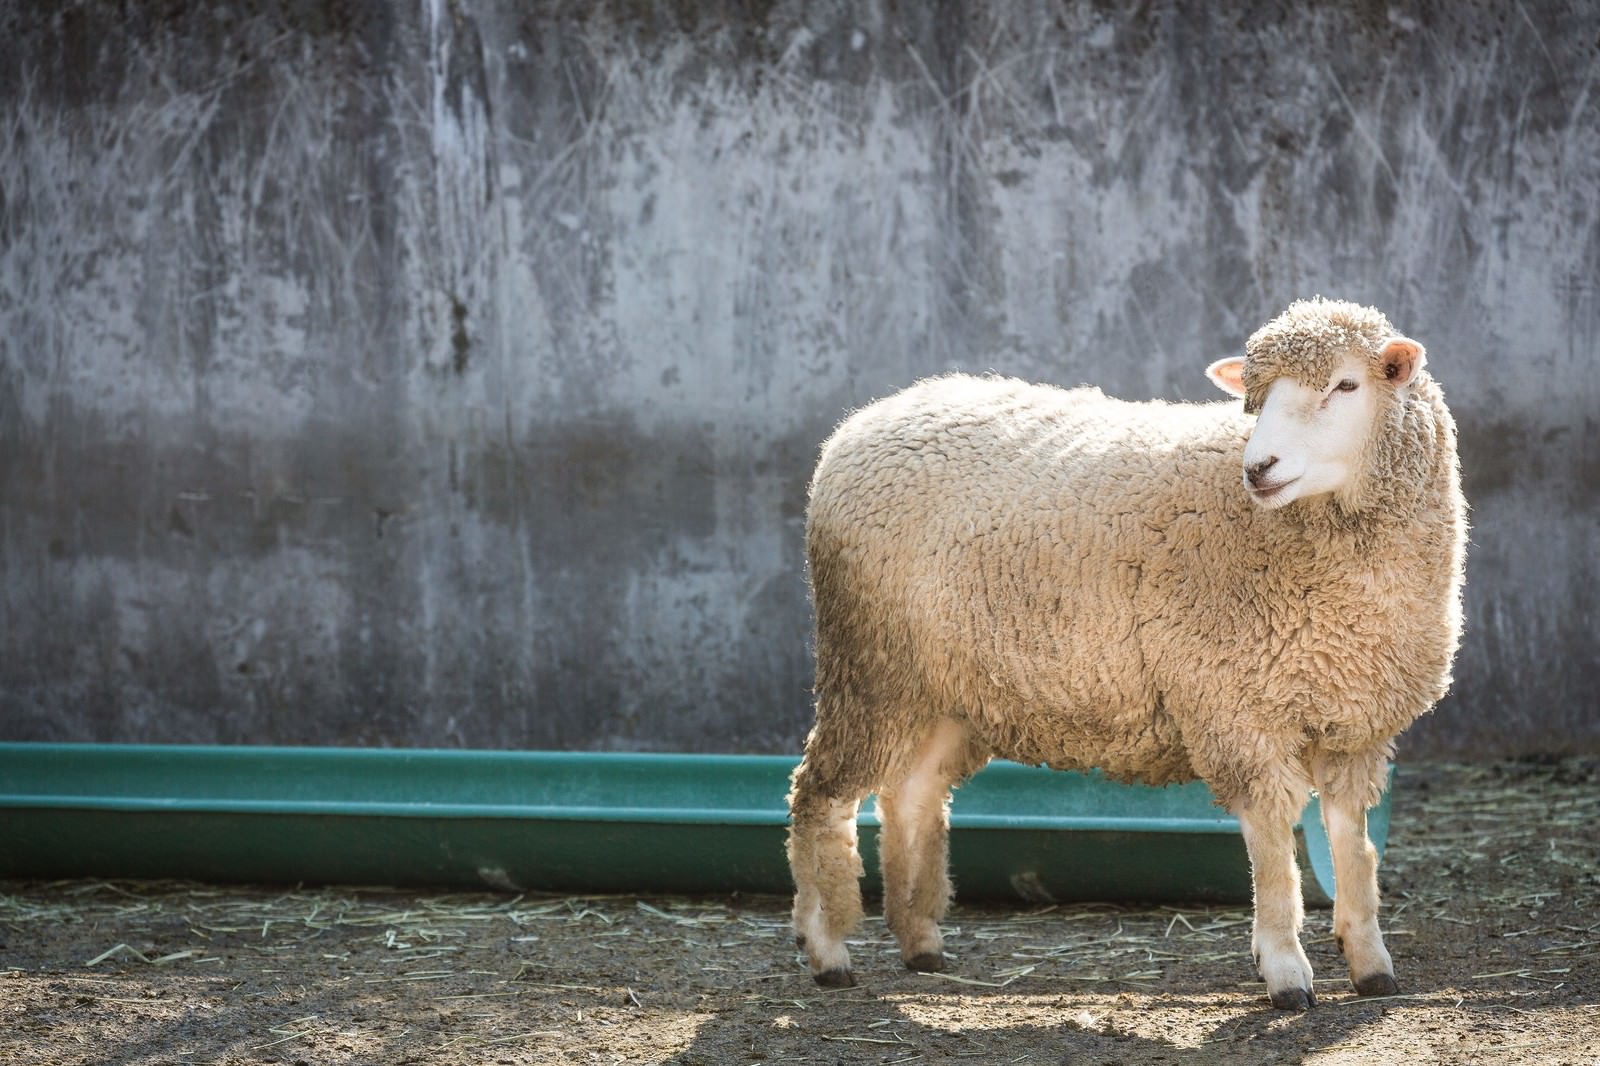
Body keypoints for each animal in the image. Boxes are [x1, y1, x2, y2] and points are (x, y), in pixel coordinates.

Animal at [784, 296, 1465, 1005]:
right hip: (869, 663)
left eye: (1346, 385)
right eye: (1254, 400)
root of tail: (864, 422)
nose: (1258, 468)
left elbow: (1352, 846)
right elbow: (1274, 849)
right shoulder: (1235, 706)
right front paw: (1283, 967)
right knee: (821, 792)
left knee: (910, 795)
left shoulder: (1354, 720)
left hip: (944, 685)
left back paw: (919, 941)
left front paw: (1371, 962)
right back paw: (825, 946)